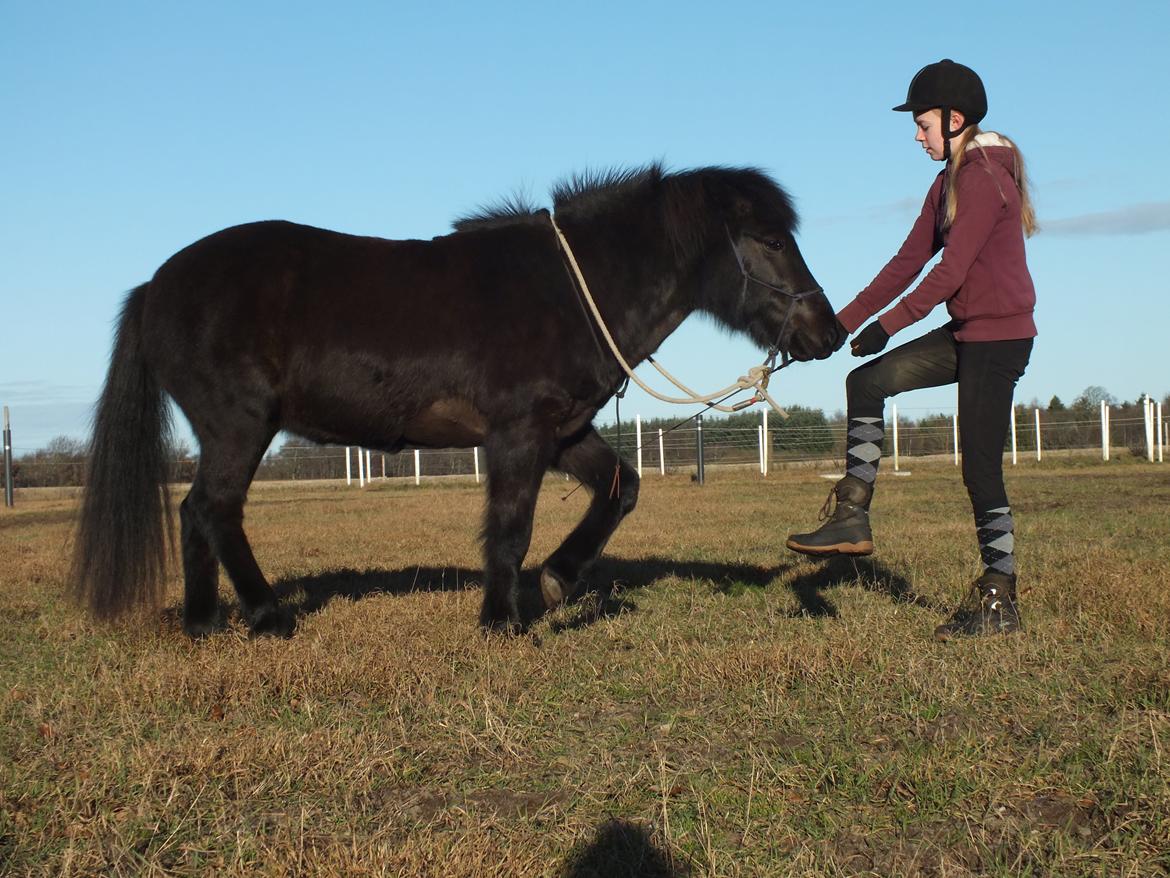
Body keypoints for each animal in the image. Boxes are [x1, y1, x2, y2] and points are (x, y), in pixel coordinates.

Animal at [70, 161, 842, 636]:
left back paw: (203, 623)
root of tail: (155, 287)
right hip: (239, 425)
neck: (569, 289)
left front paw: (555, 583)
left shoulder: (563, 432)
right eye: (771, 241)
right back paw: (266, 617)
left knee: (193, 513)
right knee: (213, 509)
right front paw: (501, 618)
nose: (828, 332)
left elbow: (620, 488)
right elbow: (509, 526)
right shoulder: (518, 434)